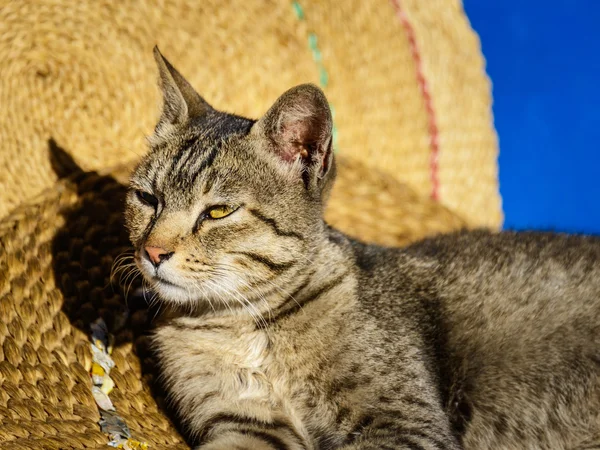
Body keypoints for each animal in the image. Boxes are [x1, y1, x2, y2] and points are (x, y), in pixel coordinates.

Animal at [124, 47, 600, 448]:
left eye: (218, 211)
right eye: (147, 198)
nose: (153, 252)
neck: (242, 324)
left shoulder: (401, 425)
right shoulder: (246, 425)